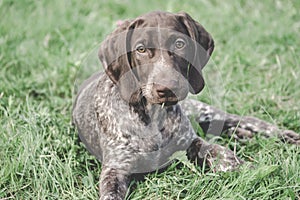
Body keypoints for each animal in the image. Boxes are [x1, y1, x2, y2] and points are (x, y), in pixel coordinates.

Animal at [72, 11, 298, 200]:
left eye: (180, 44)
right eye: (141, 49)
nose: (167, 88)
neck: (152, 116)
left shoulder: (191, 142)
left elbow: (222, 154)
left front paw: (252, 171)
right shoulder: (116, 168)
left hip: (206, 112)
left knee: (248, 121)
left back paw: (288, 136)